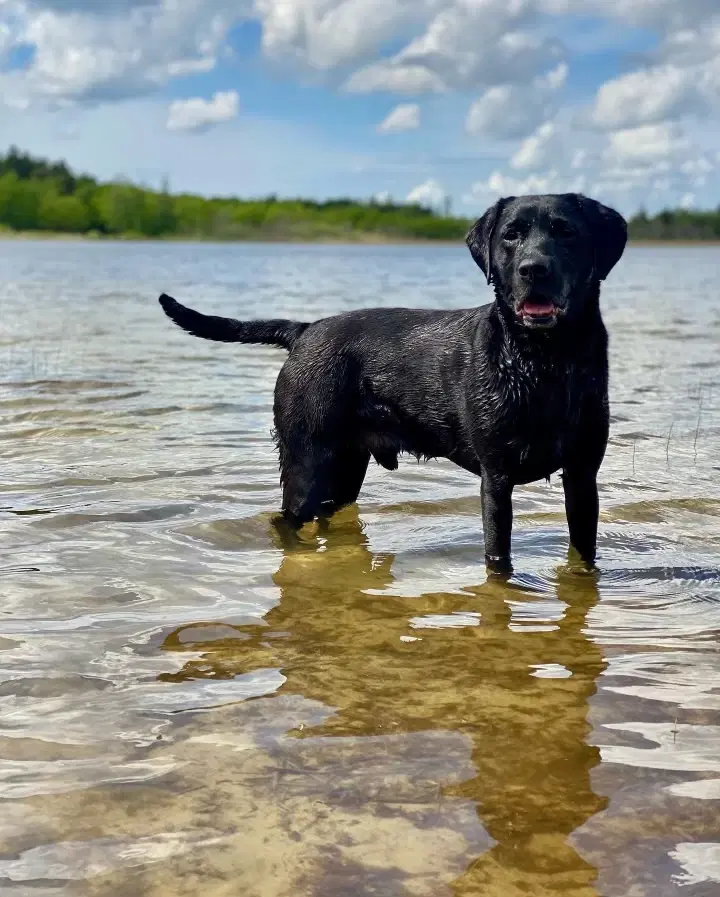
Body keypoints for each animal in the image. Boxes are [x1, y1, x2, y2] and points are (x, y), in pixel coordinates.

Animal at [158, 195, 624, 576]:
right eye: (511, 234)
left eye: (566, 232)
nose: (534, 269)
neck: (544, 362)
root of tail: (304, 330)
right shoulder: (497, 478)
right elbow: (499, 559)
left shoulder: (583, 476)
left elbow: (584, 552)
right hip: (307, 460)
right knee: (286, 520)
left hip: (345, 467)